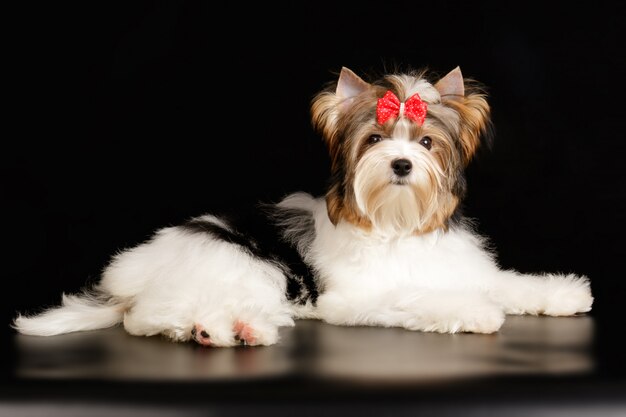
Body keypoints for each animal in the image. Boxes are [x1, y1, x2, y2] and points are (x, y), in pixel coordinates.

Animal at [12, 66, 592, 346]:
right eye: (375, 139)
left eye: (427, 142)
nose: (402, 163)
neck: (396, 224)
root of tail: (130, 274)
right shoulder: (357, 297)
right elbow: (417, 298)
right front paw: (473, 312)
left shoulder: (457, 264)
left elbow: (505, 282)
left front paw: (563, 292)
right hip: (243, 262)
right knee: (148, 318)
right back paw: (220, 330)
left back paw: (234, 330)